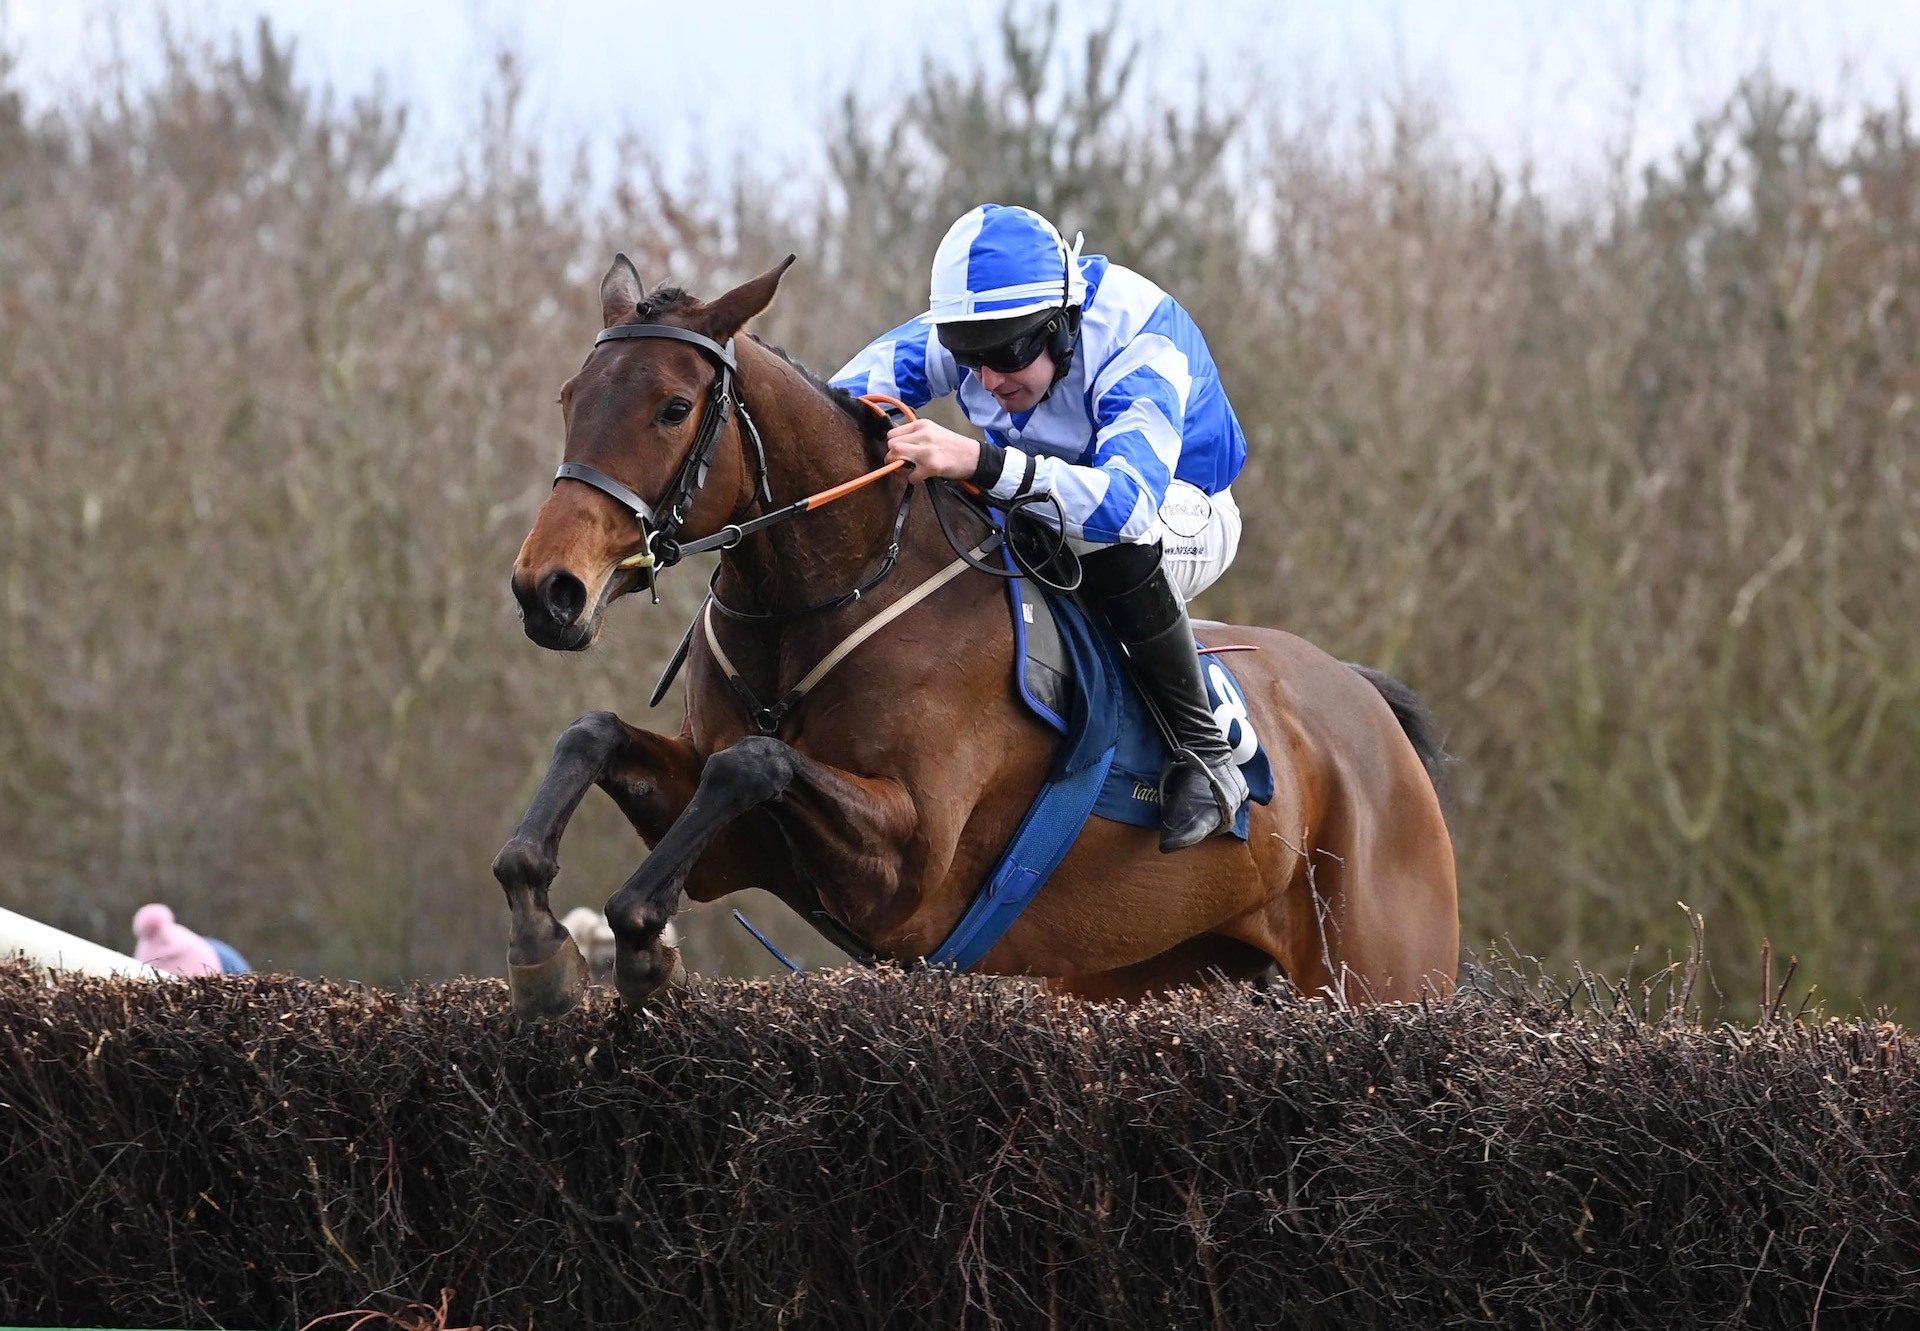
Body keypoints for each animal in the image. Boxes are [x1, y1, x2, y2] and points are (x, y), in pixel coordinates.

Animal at [495, 251, 1451, 1014]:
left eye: (672, 406)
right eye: (571, 397)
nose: (549, 589)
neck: (818, 605)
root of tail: (1366, 702)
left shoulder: (910, 871)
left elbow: (752, 762)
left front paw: (639, 939)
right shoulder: (736, 847)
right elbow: (594, 733)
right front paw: (543, 942)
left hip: (1384, 977)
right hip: (1144, 969)